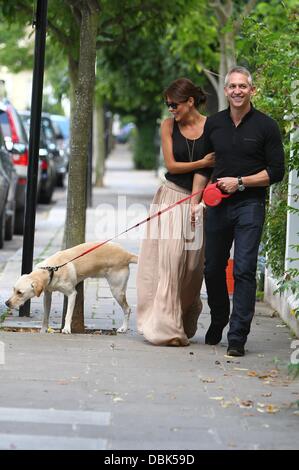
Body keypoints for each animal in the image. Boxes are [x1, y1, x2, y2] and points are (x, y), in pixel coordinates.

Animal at [4, 242, 138, 334]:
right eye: (13, 289)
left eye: (20, 292)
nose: (6, 303)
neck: (50, 270)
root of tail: (127, 254)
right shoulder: (47, 295)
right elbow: (45, 315)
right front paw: (43, 329)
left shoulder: (72, 294)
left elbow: (68, 314)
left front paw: (66, 328)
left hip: (117, 290)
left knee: (128, 309)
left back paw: (124, 328)